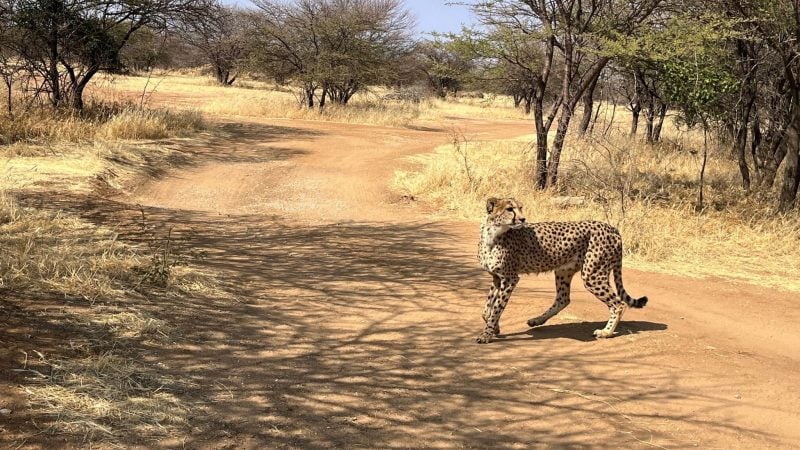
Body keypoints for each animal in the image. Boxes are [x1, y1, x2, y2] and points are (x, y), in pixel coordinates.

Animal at [478, 197, 648, 344]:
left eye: (520, 208)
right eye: (509, 209)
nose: (522, 219)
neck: (493, 234)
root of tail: (612, 228)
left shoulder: (510, 278)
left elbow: (497, 307)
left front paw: (487, 335)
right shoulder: (497, 277)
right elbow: (487, 308)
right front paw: (495, 328)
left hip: (592, 275)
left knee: (619, 304)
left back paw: (606, 332)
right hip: (564, 271)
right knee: (563, 299)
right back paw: (537, 320)